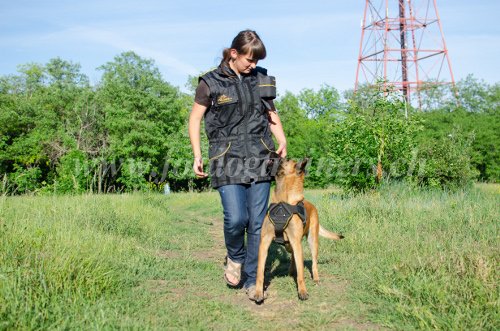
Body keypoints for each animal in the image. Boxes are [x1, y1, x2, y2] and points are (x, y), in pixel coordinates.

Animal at [254, 158, 344, 304]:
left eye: (285, 159)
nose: (272, 156)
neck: (282, 201)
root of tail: (312, 205)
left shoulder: (296, 242)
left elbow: (301, 272)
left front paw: (302, 292)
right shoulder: (265, 242)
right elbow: (260, 271)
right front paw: (258, 292)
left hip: (312, 241)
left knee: (313, 262)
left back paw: (316, 277)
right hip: (290, 245)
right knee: (293, 257)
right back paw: (291, 270)